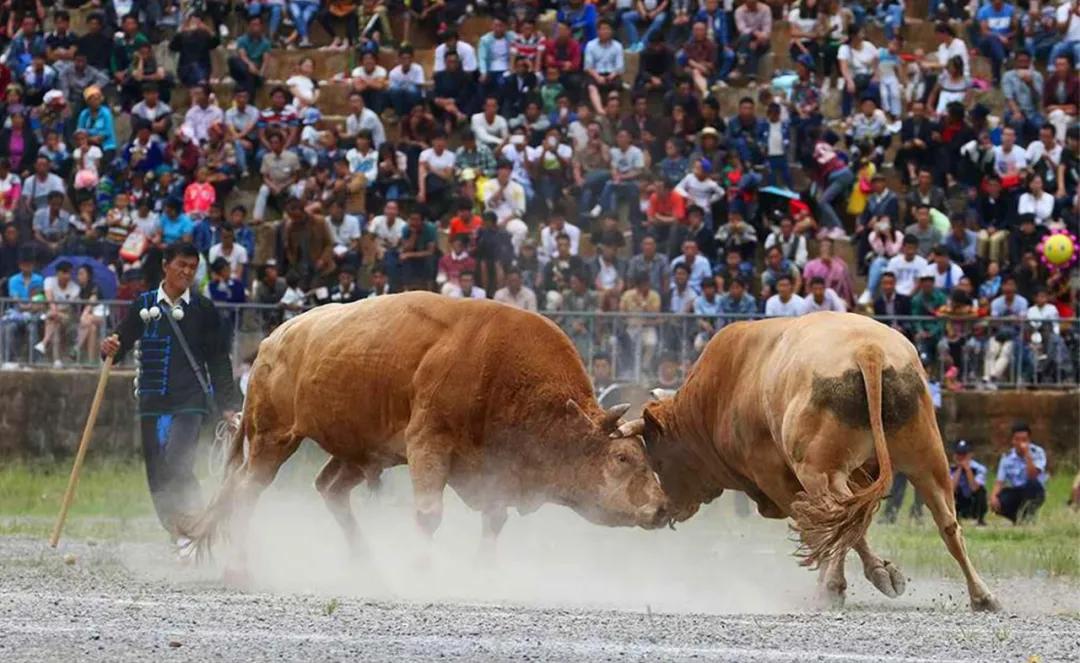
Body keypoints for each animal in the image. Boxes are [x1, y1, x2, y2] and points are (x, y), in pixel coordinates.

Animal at [190, 291, 669, 583]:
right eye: (623, 458)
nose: (662, 507)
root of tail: (274, 339)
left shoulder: (494, 471)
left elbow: (494, 520)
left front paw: (484, 573)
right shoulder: (428, 445)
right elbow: (428, 514)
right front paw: (420, 569)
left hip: (360, 453)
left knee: (329, 489)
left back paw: (366, 565)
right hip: (273, 438)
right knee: (246, 491)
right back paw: (240, 568)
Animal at [622, 310, 997, 613]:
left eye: (658, 460)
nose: (666, 510)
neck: (721, 390)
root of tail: (868, 350)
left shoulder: (776, 478)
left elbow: (822, 529)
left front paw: (864, 576)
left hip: (820, 472)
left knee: (840, 519)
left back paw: (833, 587)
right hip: (927, 458)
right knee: (946, 523)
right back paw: (982, 595)